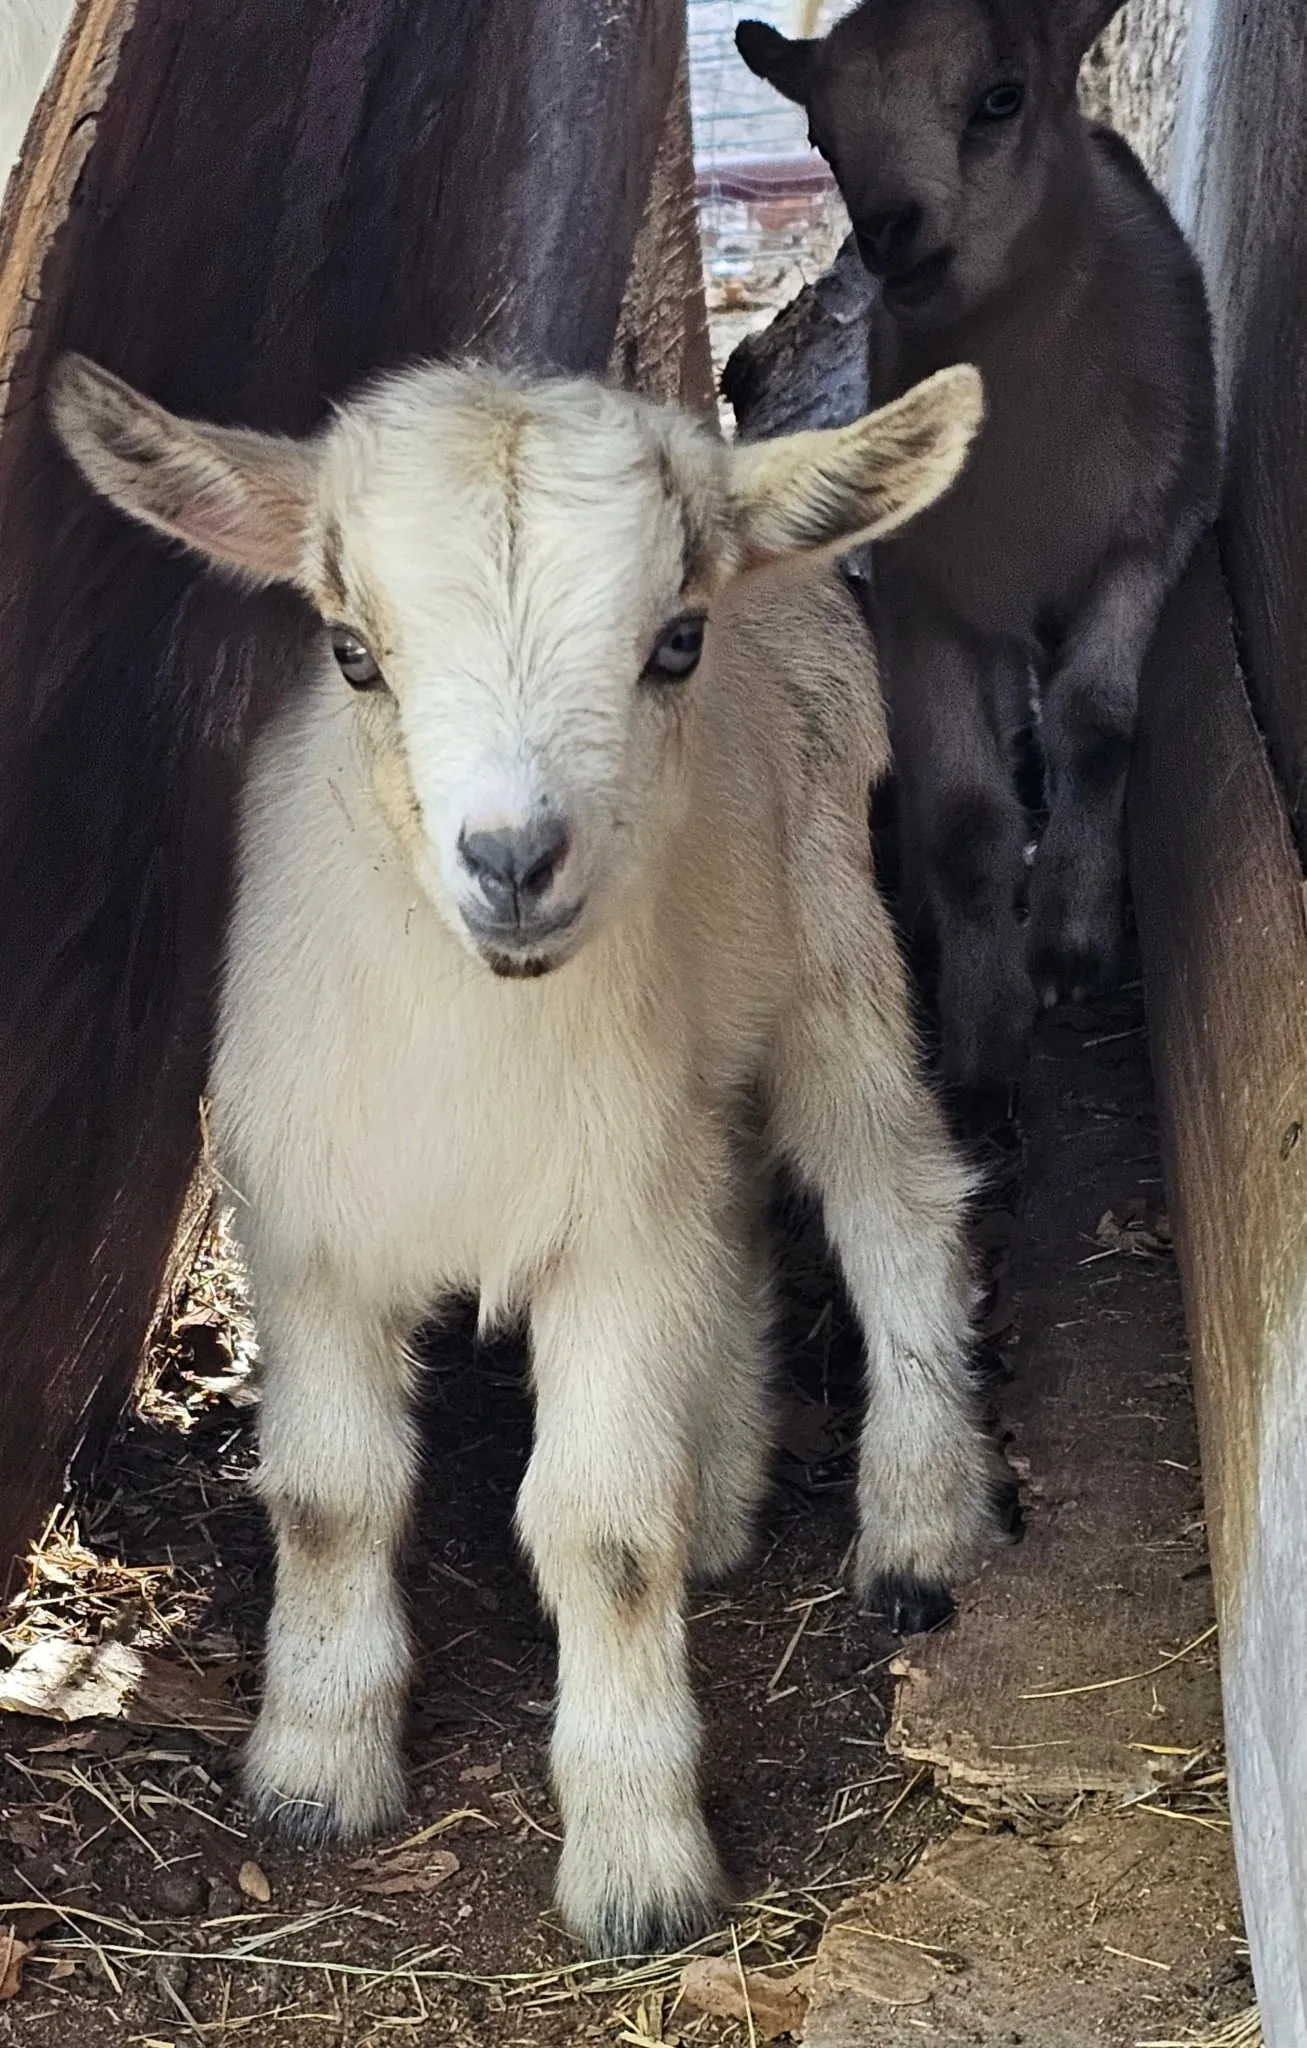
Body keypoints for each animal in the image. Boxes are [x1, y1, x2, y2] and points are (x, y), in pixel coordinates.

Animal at [50, 349, 1004, 1956]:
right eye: (351, 649)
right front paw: (313, 1767)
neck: (477, 1037)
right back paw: (728, 1486)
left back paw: (916, 1530)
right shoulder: (309, 1218)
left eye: (674, 643)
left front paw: (638, 1865)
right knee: (736, 1215)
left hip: (827, 945)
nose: (512, 861)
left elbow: (600, 1530)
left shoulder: (609, 1225)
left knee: (893, 1201)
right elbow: (328, 1494)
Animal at [738, 0, 1218, 1094]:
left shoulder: (1149, 533)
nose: (887, 233)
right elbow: (963, 821)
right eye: (822, 137)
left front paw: (1071, 941)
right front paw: (984, 1041)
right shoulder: (926, 592)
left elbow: (1094, 721)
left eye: (1000, 98)